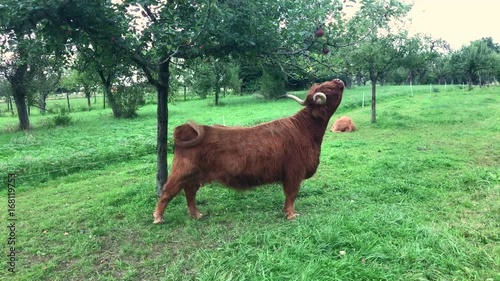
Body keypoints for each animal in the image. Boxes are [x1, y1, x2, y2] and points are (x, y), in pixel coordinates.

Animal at [154, 77, 346, 222]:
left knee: (190, 192)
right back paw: (158, 217)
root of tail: (186, 129)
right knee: (168, 191)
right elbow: (292, 194)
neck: (306, 129)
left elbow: (289, 196)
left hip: (195, 175)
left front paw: (287, 212)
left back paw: (196, 215)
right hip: (181, 171)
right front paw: (291, 215)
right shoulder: (294, 171)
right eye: (328, 88)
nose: (339, 80)